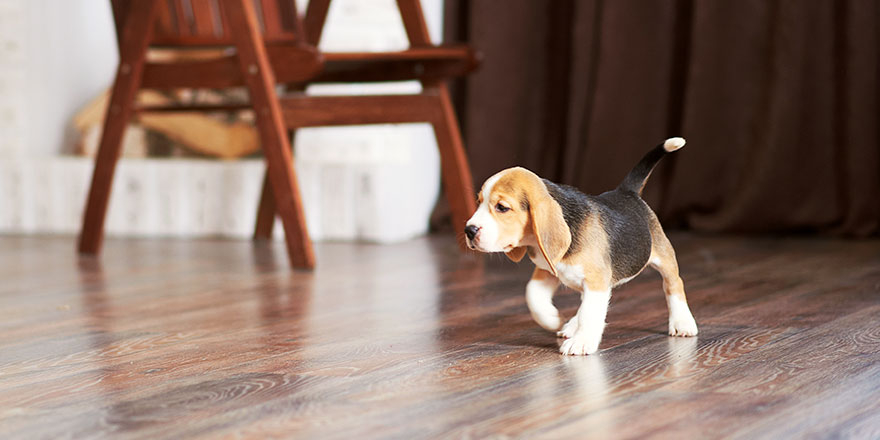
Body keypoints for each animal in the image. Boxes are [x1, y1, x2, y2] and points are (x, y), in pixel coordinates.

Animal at [464, 138, 696, 354]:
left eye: (502, 207)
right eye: (479, 202)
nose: (469, 230)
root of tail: (626, 192)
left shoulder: (596, 281)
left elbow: (589, 313)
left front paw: (581, 341)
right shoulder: (548, 269)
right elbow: (533, 294)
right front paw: (551, 318)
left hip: (663, 257)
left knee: (674, 285)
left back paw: (682, 322)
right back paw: (570, 325)